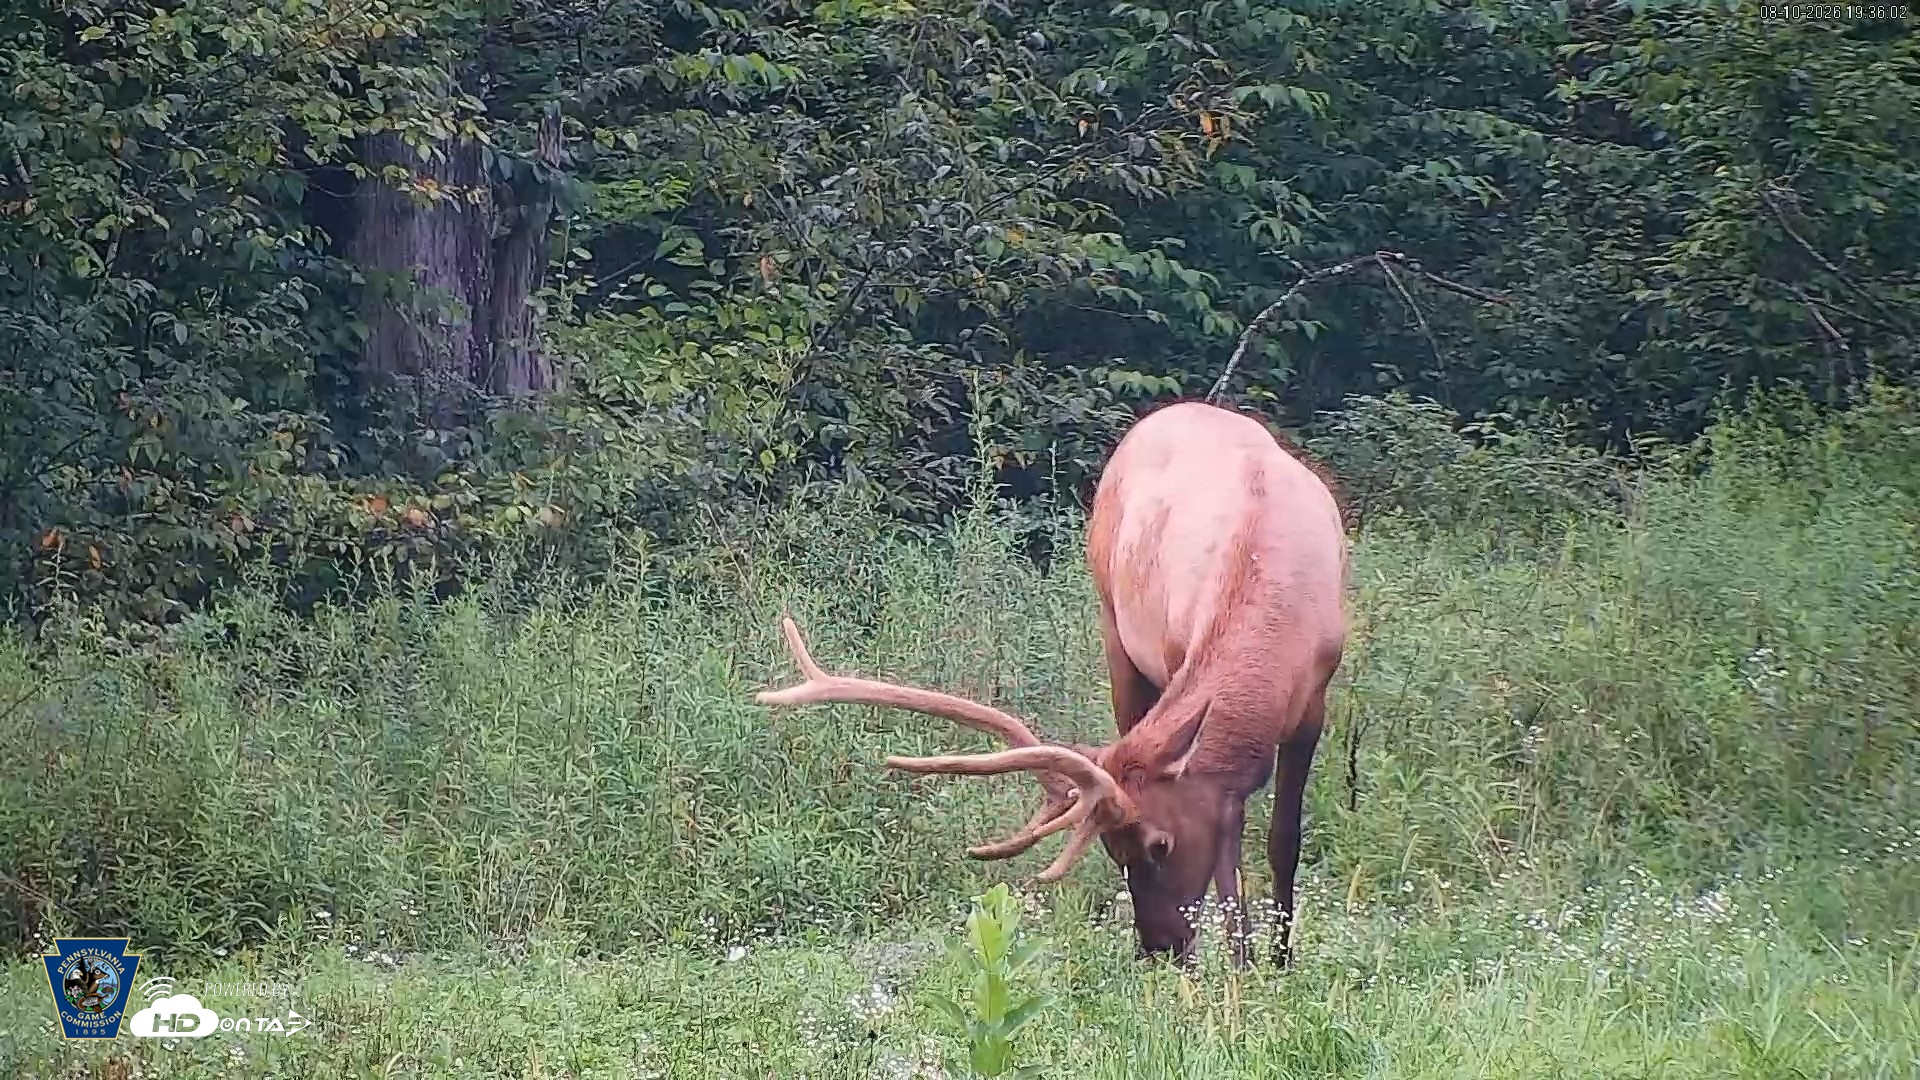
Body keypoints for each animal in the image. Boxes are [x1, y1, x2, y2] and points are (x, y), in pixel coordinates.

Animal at [756, 399, 1349, 968]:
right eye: (1113, 852)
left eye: (1160, 845)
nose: (1160, 949)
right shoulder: (1174, 655)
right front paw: (1243, 966)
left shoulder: (1317, 695)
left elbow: (1281, 840)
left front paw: (1275, 962)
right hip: (1113, 621)